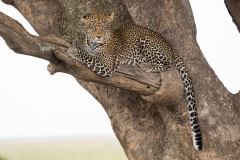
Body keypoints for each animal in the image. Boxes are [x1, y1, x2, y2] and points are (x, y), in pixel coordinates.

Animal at [65, 11, 202, 150]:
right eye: (92, 27)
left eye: (104, 27)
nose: (99, 36)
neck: (94, 44)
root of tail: (169, 45)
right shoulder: (90, 48)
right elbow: (85, 48)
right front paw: (70, 40)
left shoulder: (106, 65)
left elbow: (87, 56)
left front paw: (74, 51)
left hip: (146, 41)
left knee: (167, 63)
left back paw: (145, 65)